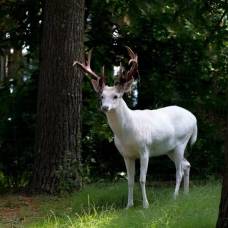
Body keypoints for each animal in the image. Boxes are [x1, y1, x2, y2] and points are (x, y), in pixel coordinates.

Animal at [74, 47, 197, 208]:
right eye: (101, 96)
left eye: (116, 96)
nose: (105, 107)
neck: (127, 133)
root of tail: (194, 119)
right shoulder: (126, 154)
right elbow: (130, 181)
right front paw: (129, 205)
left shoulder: (145, 149)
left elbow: (142, 179)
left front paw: (146, 205)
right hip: (169, 149)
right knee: (187, 164)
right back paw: (186, 194)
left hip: (181, 142)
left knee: (179, 171)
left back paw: (174, 196)